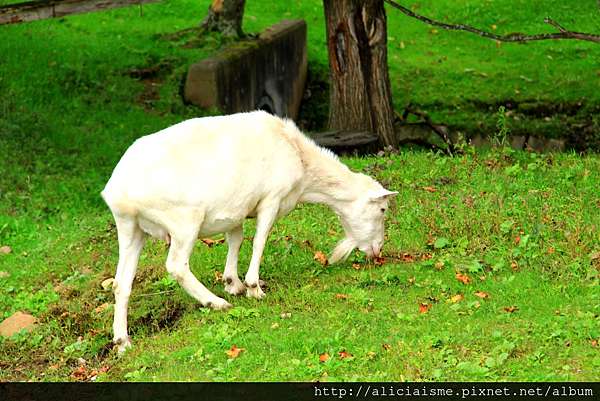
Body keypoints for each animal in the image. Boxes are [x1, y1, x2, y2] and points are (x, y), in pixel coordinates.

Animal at [103, 109, 398, 350]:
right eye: (383, 210)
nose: (378, 250)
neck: (302, 163)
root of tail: (119, 192)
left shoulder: (235, 210)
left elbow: (236, 239)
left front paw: (233, 283)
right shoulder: (271, 199)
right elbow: (260, 239)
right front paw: (253, 287)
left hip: (131, 229)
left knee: (122, 283)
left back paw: (122, 341)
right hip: (184, 220)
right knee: (176, 266)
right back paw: (216, 303)